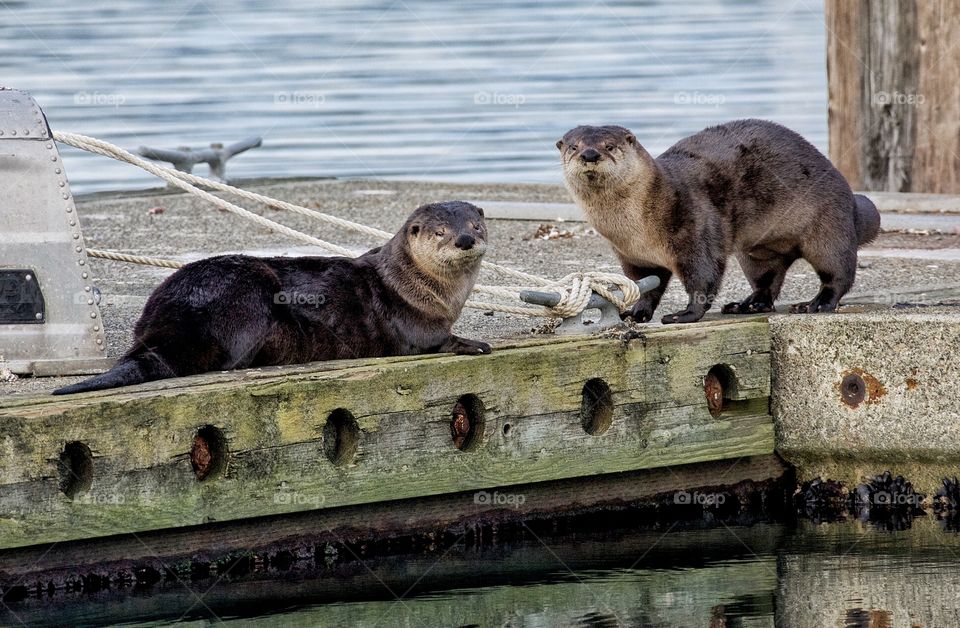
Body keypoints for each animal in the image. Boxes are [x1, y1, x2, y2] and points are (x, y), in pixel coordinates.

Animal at [53, 201, 491, 395]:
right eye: (439, 233)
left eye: (476, 225)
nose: (465, 240)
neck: (415, 285)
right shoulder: (412, 320)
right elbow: (431, 340)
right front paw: (474, 343)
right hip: (244, 292)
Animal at [558, 119, 880, 324]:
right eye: (573, 146)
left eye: (609, 145)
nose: (589, 154)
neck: (636, 228)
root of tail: (851, 199)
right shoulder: (634, 257)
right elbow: (646, 286)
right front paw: (636, 312)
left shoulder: (694, 227)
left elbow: (703, 278)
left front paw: (684, 315)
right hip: (757, 253)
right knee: (767, 280)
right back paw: (746, 305)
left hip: (828, 225)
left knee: (837, 272)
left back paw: (816, 304)